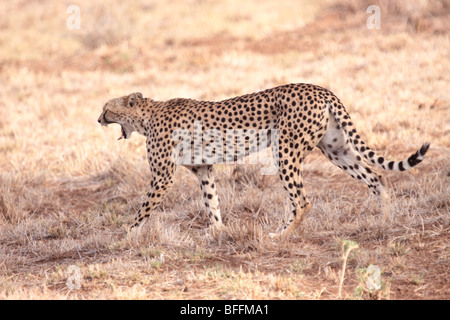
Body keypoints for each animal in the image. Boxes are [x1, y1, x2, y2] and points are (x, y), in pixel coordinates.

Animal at [97, 84, 428, 239]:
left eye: (106, 108)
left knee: (303, 201)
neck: (146, 115)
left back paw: (280, 236)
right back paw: (384, 221)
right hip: (336, 150)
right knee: (377, 177)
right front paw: (218, 232)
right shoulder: (203, 169)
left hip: (286, 151)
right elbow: (211, 202)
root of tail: (320, 88)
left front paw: (126, 236)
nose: (98, 119)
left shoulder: (163, 177)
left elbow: (144, 208)